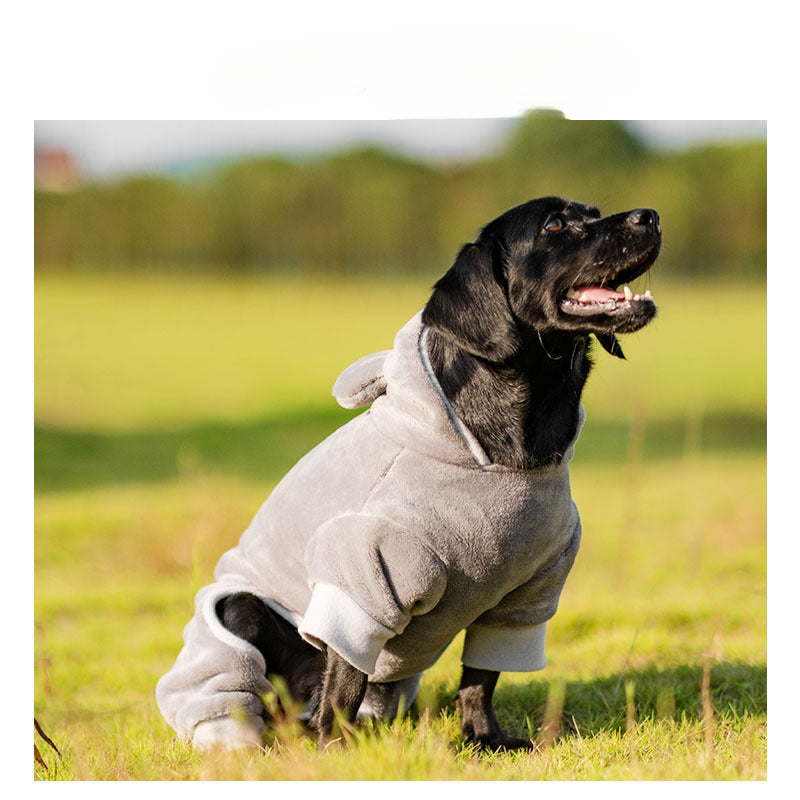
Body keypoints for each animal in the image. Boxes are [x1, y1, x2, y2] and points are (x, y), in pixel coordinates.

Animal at [217, 195, 656, 752]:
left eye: (594, 211)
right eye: (556, 225)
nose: (650, 216)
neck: (510, 452)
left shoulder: (526, 594)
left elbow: (480, 679)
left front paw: (483, 737)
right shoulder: (362, 576)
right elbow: (343, 683)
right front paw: (336, 753)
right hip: (243, 610)